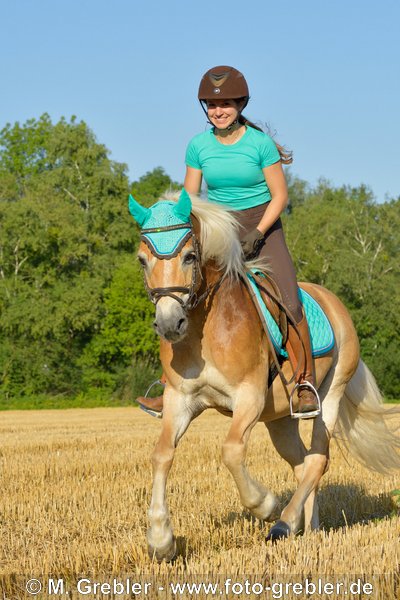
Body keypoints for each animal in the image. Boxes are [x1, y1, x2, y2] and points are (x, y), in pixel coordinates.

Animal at [129, 189, 400, 564]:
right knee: (304, 464)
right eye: (142, 260)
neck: (205, 328)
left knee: (318, 459)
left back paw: (283, 522)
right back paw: (308, 528)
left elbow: (231, 451)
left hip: (329, 395)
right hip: (279, 419)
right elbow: (161, 454)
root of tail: (332, 301)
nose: (170, 324)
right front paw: (160, 540)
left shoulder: (249, 397)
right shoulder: (180, 400)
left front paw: (265, 505)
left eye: (189, 256)